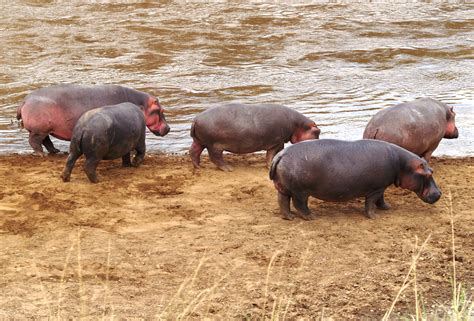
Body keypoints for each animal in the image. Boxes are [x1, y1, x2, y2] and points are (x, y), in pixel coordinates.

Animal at [17, 84, 171, 155]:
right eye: (161, 110)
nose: (169, 128)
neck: (140, 104)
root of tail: (25, 100)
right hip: (39, 130)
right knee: (35, 141)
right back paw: (41, 154)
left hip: (45, 129)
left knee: (46, 141)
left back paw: (56, 151)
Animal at [188, 104, 318, 171]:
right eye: (318, 131)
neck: (298, 125)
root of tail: (196, 119)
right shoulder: (277, 141)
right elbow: (271, 154)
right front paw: (269, 166)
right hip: (214, 145)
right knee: (215, 158)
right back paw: (229, 168)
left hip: (199, 141)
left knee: (194, 151)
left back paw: (199, 167)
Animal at [268, 139, 442, 220]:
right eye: (428, 174)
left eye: (432, 170)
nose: (439, 193)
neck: (403, 164)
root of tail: (281, 154)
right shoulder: (376, 189)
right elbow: (371, 203)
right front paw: (374, 217)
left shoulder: (382, 187)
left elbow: (381, 200)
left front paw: (387, 208)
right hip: (300, 191)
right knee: (299, 204)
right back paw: (311, 217)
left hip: (283, 187)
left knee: (283, 201)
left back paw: (289, 217)